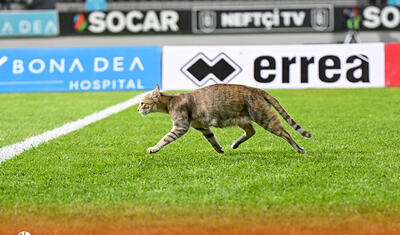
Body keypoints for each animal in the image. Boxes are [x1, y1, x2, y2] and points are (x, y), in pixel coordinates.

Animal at [139, 84, 310, 154]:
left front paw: (153, 148)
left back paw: (298, 149)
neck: (170, 102)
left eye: (142, 103)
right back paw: (235, 144)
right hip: (243, 119)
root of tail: (257, 89)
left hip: (264, 117)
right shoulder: (203, 127)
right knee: (251, 131)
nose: (137, 109)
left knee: (285, 133)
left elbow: (165, 139)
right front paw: (219, 150)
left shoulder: (180, 126)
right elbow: (212, 139)